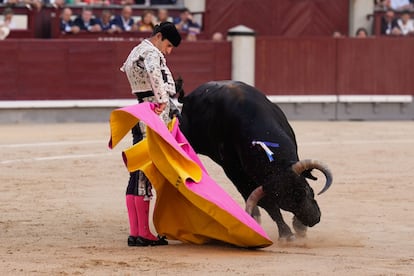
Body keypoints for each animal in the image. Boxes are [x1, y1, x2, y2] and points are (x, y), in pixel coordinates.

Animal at [177, 80, 334, 239]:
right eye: (285, 204)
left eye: (306, 190)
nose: (313, 219)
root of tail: (190, 96)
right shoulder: (235, 172)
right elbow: (269, 205)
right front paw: (286, 233)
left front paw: (299, 227)